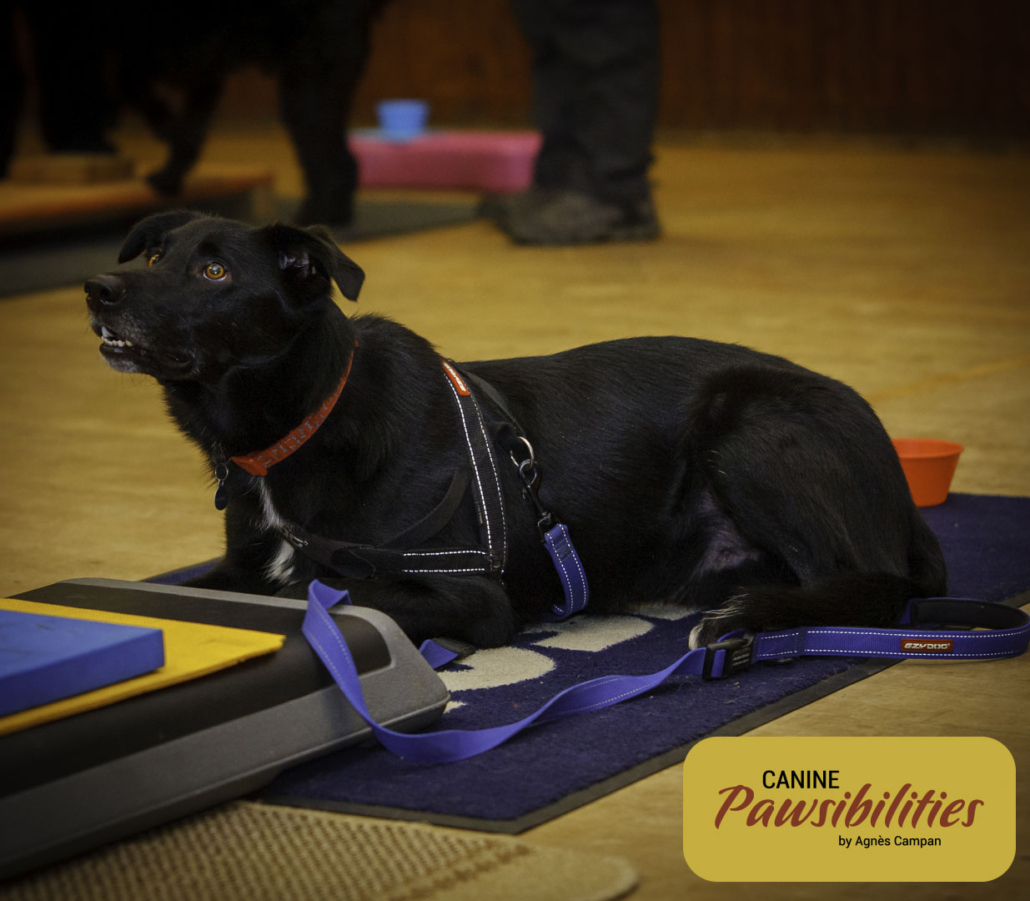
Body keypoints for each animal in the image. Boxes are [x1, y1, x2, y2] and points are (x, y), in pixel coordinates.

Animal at [84, 211, 947, 650]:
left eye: (214, 270)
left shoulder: (470, 596)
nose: (97, 287)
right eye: (153, 253)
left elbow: (322, 591)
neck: (311, 416)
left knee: (877, 584)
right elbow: (194, 591)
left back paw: (752, 616)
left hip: (751, 427)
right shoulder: (243, 565)